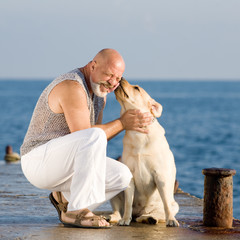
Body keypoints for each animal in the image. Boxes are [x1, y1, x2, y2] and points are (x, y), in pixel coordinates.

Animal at [109, 79, 179, 227]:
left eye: (136, 88)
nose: (121, 78)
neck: (138, 134)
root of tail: (139, 212)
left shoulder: (161, 176)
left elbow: (166, 204)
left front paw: (171, 220)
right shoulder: (129, 176)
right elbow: (128, 202)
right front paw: (125, 219)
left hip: (174, 204)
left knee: (158, 213)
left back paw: (149, 218)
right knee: (119, 210)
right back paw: (114, 217)